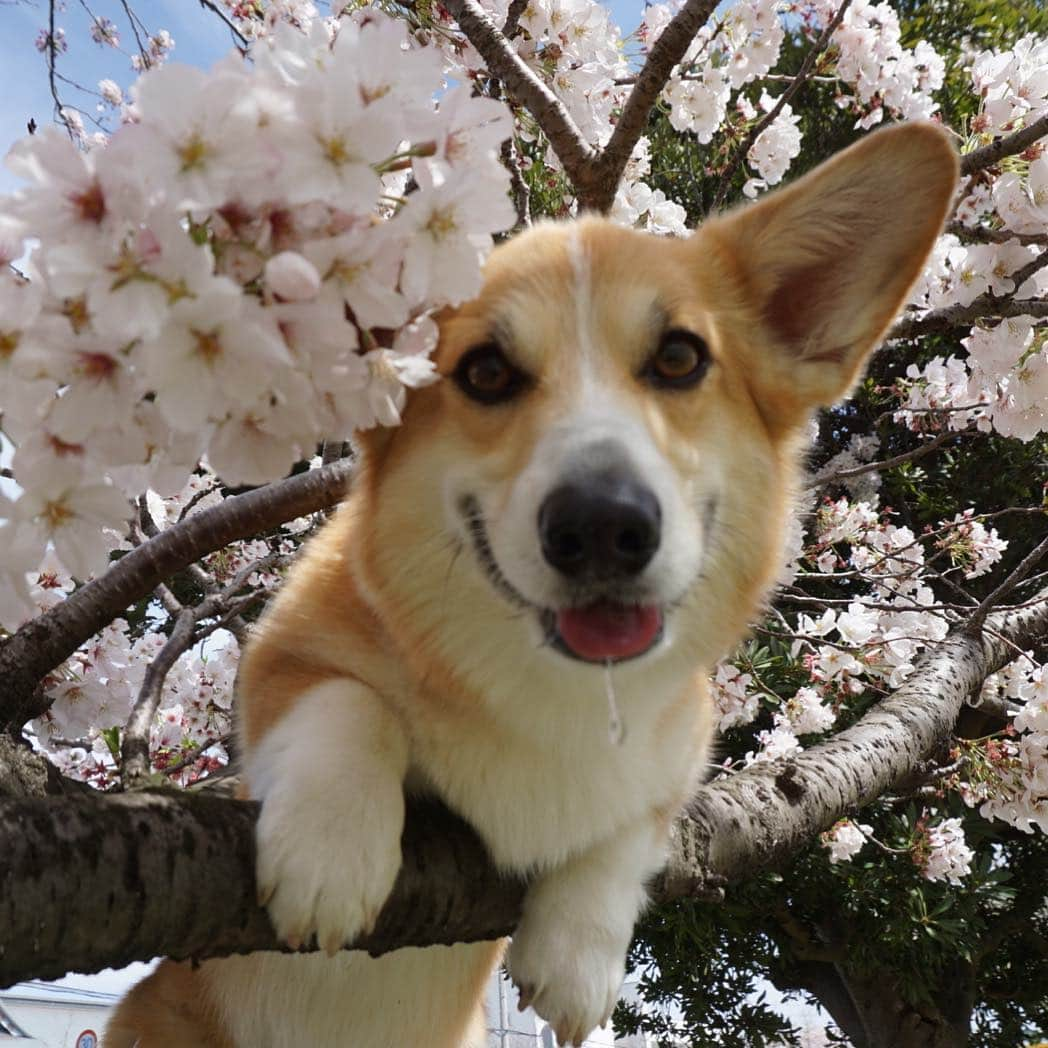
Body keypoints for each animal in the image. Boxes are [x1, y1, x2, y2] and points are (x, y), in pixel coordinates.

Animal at [108, 124, 959, 1048]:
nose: (603, 527)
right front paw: (333, 853)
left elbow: (634, 827)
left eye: (679, 358)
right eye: (485, 373)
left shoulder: (681, 754)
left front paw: (579, 957)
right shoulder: (281, 655)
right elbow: (344, 700)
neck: (557, 692)